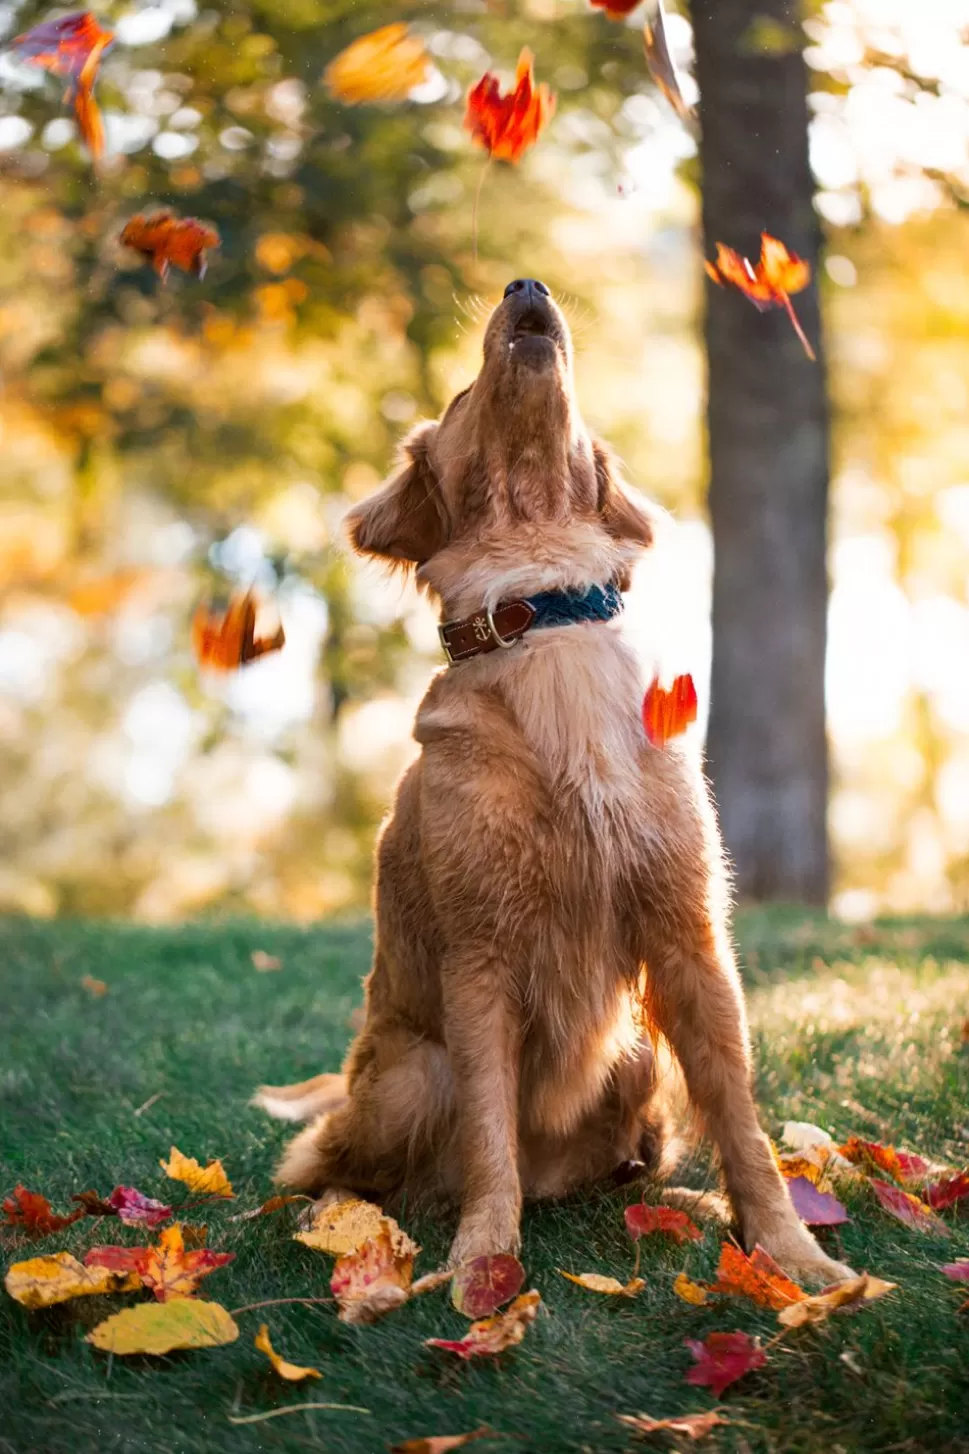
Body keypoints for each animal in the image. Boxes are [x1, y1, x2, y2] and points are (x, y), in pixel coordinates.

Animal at [253, 274, 849, 1285]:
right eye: (461, 394)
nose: (525, 284)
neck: (540, 604)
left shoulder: (689, 941)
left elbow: (741, 1124)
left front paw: (790, 1257)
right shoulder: (479, 959)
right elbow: (490, 1135)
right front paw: (481, 1268)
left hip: (636, 1050)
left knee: (630, 1166)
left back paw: (679, 1204)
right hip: (413, 1074)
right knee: (335, 1169)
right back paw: (354, 1224)